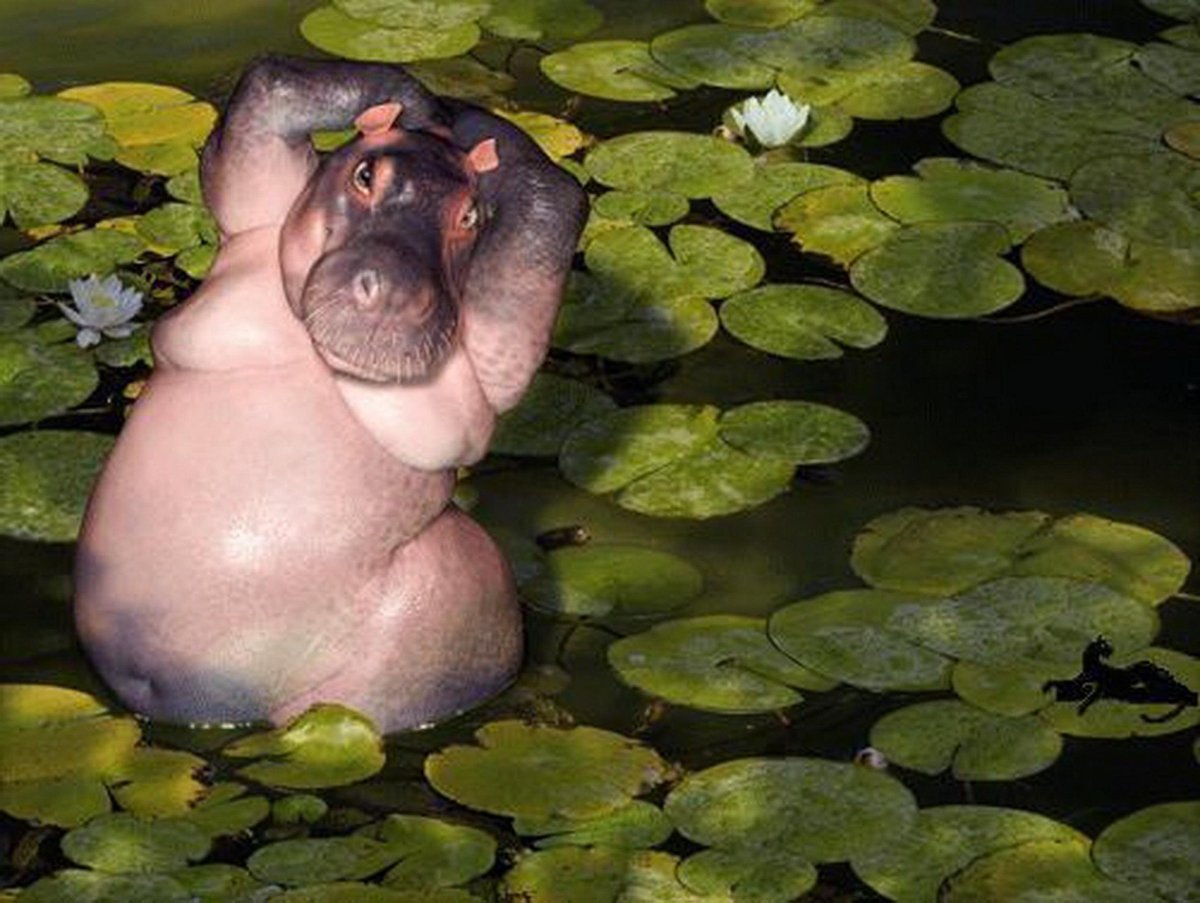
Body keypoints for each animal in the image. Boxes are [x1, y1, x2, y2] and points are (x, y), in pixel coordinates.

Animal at [73, 56, 587, 732]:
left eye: (470, 217)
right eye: (366, 174)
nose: (392, 287)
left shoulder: (492, 368)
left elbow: (555, 203)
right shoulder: (256, 214)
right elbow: (267, 100)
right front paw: (427, 107)